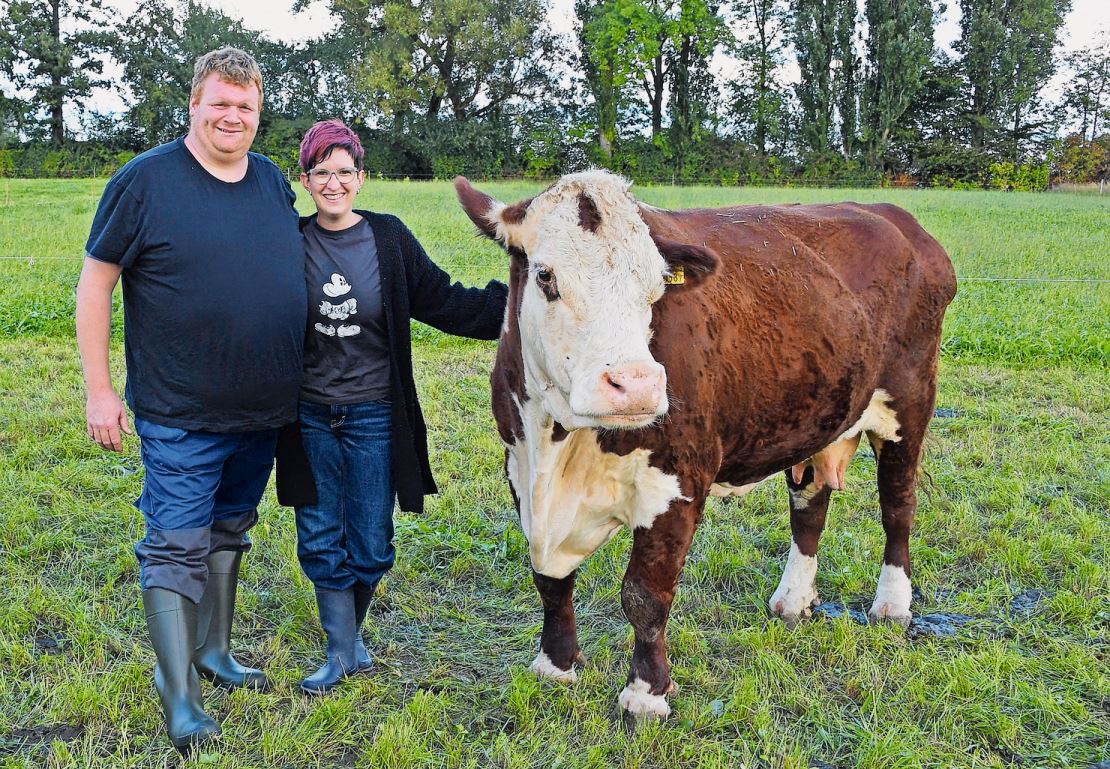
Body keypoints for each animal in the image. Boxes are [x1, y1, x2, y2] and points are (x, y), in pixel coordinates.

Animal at [450, 170, 954, 719]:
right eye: (546, 276)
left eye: (654, 287)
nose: (638, 384)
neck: (556, 449)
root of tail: (891, 214)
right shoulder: (519, 467)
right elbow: (550, 579)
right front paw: (555, 664)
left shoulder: (679, 481)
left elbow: (645, 594)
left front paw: (646, 694)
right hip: (815, 414)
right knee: (809, 509)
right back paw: (793, 600)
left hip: (909, 403)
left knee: (897, 507)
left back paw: (892, 605)